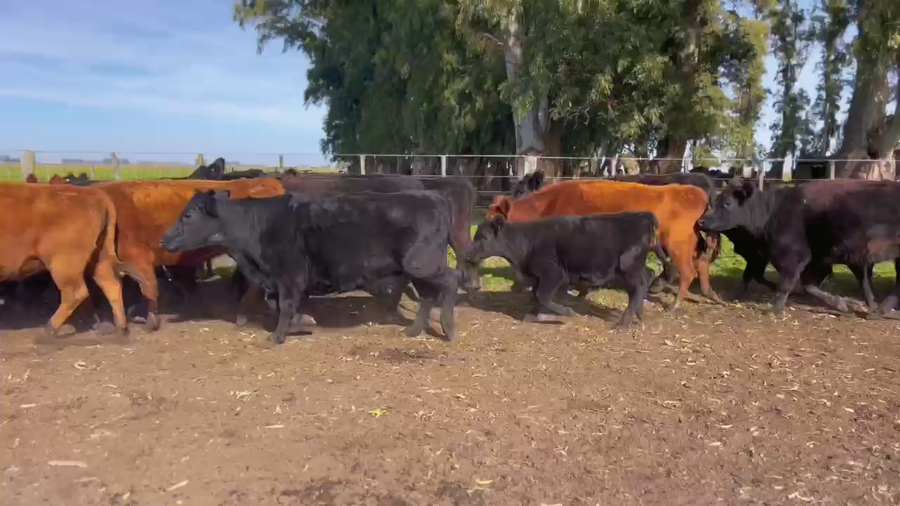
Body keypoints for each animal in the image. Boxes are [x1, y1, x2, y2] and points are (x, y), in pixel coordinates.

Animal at [0, 183, 150, 336]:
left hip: (63, 264)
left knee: (75, 292)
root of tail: (96, 194)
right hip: (99, 255)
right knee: (110, 282)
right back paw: (121, 328)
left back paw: (49, 330)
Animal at [160, 190, 459, 345]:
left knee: (451, 281)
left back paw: (448, 328)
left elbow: (284, 306)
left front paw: (277, 336)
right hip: (417, 269)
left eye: (188, 215)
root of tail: (432, 196)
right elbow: (280, 306)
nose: (163, 239)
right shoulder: (284, 281)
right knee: (428, 295)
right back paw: (413, 331)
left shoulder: (289, 276)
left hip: (422, 263)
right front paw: (303, 322)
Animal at [463, 212, 658, 326]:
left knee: (639, 286)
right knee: (647, 277)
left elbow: (542, 296)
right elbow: (536, 297)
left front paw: (567, 313)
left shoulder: (553, 274)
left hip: (628, 266)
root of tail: (642, 216)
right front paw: (534, 316)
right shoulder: (538, 278)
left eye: (484, 237)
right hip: (634, 268)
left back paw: (624, 323)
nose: (468, 254)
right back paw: (638, 315)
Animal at [487, 180, 722, 310]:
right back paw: (709, 294)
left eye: (495, 222)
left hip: (677, 244)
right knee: (701, 263)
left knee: (688, 270)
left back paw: (674, 305)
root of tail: (696, 192)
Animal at [698, 178, 894, 316]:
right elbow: (807, 285)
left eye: (727, 203)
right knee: (864, 280)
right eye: (716, 201)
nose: (701, 221)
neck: (771, 213)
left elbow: (788, 283)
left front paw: (774, 309)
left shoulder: (794, 256)